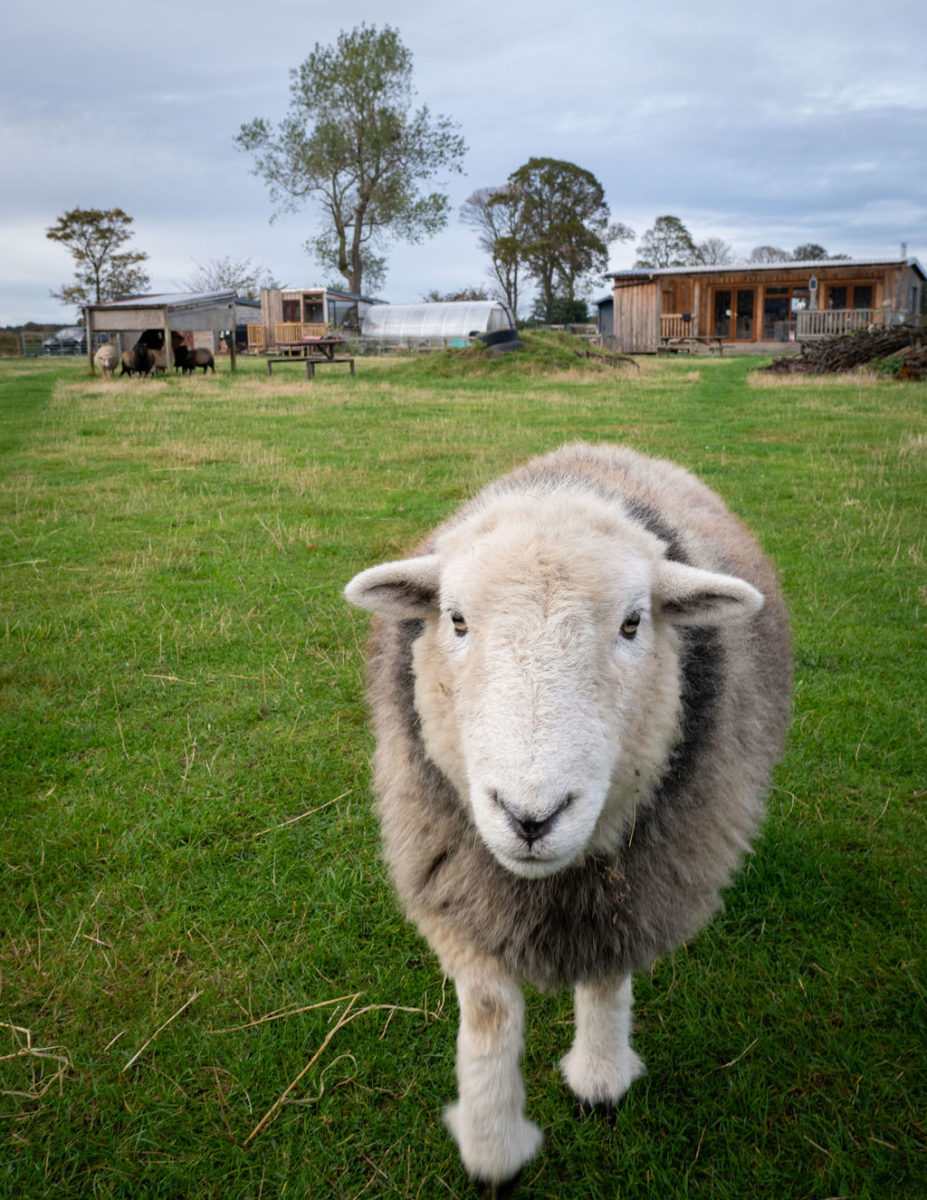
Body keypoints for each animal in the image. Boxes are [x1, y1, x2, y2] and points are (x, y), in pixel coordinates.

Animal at [344, 442, 792, 1186]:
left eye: (633, 623)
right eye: (456, 619)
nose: (532, 818)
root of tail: (599, 451)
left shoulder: (635, 885)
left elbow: (607, 972)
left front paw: (600, 1079)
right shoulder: (453, 870)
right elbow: (490, 1010)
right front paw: (492, 1142)